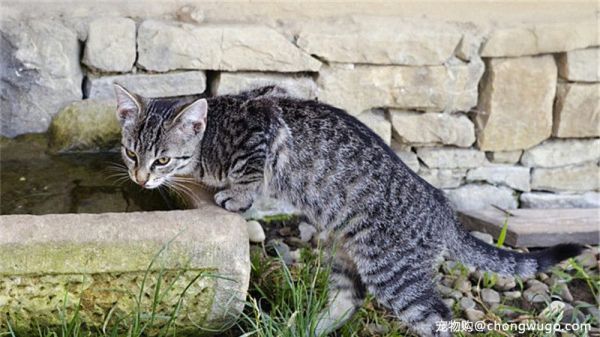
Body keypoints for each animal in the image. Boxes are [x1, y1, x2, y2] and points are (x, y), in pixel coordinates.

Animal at [115, 84, 584, 336]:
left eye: (162, 160)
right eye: (131, 152)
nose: (140, 178)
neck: (212, 134)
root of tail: (444, 213)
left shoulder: (261, 132)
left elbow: (249, 175)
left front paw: (235, 197)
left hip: (395, 273)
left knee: (437, 318)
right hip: (346, 254)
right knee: (348, 301)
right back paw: (304, 329)